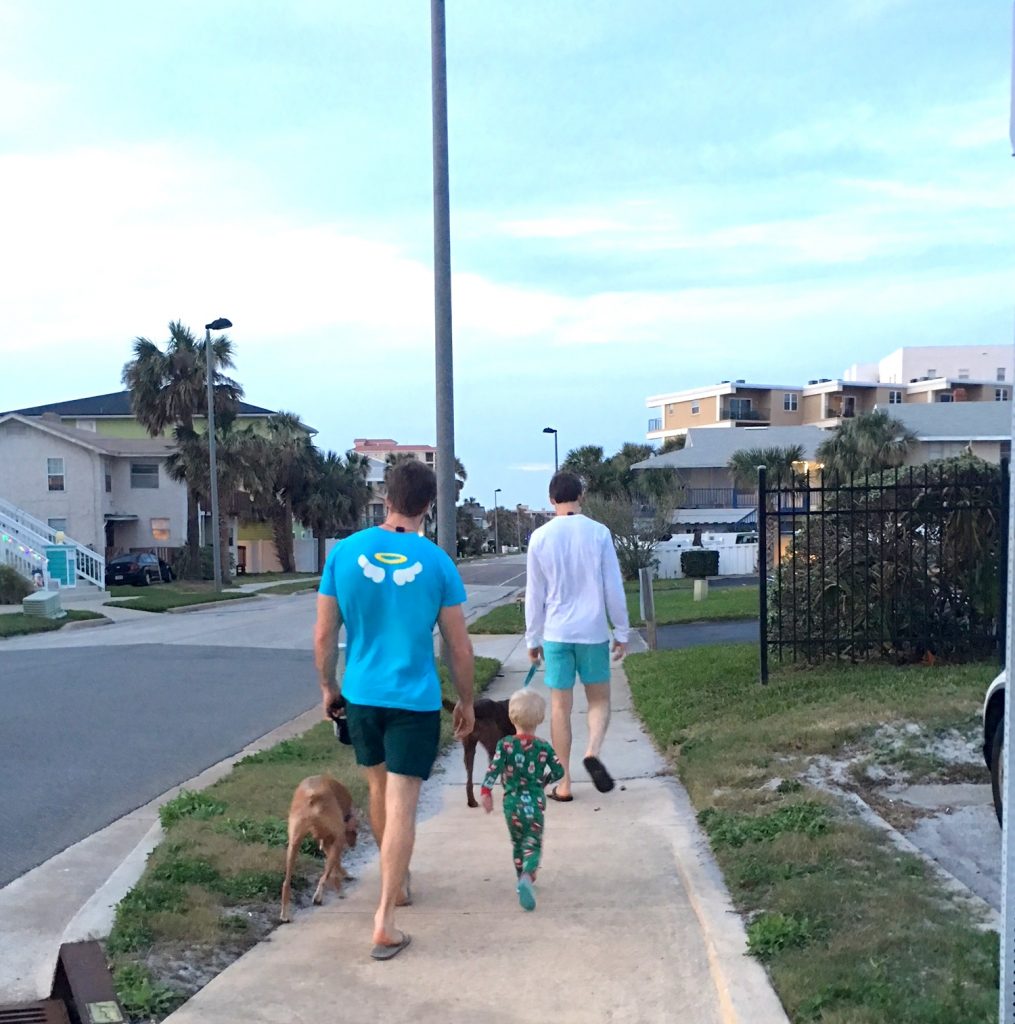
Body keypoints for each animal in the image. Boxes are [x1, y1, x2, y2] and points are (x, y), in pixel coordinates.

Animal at [280, 770, 358, 925]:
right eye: (356, 832)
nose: (354, 845)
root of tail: (312, 794)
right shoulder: (335, 839)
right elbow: (333, 870)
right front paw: (341, 884)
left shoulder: (326, 841)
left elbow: (335, 866)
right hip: (336, 839)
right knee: (324, 877)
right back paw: (320, 896)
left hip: (293, 844)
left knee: (286, 883)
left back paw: (285, 914)